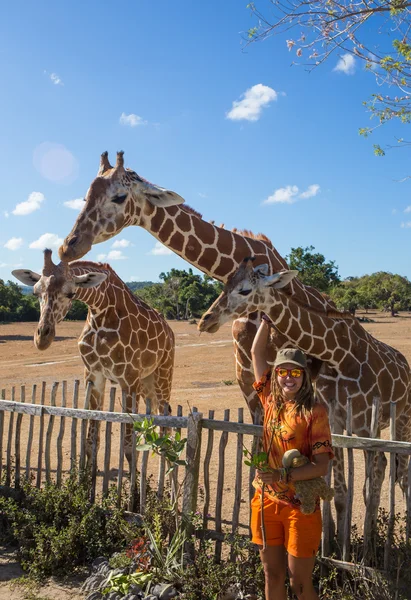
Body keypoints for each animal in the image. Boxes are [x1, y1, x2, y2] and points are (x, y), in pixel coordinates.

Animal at [13, 248, 175, 464]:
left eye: (71, 293)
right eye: (35, 292)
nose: (42, 339)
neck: (101, 312)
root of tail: (169, 330)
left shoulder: (129, 379)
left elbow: (129, 447)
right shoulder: (94, 374)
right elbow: (91, 442)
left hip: (163, 372)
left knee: (166, 419)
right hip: (147, 380)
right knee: (156, 418)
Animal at [199, 258, 411, 540]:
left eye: (244, 290)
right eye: (225, 283)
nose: (205, 320)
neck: (339, 355)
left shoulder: (366, 426)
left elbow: (368, 487)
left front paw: (367, 547)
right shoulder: (336, 422)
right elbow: (341, 494)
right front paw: (340, 542)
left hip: (402, 419)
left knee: (400, 475)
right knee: (390, 469)